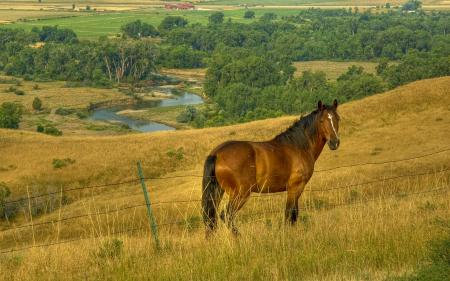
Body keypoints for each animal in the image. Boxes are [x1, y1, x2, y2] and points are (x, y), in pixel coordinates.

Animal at [202, 99, 340, 235]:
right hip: (240, 194)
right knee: (227, 215)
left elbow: (293, 214)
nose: (335, 142)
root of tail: (217, 154)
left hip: (218, 192)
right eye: (321, 121)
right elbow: (290, 214)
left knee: (212, 217)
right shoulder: (295, 188)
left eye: (337, 118)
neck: (298, 147)